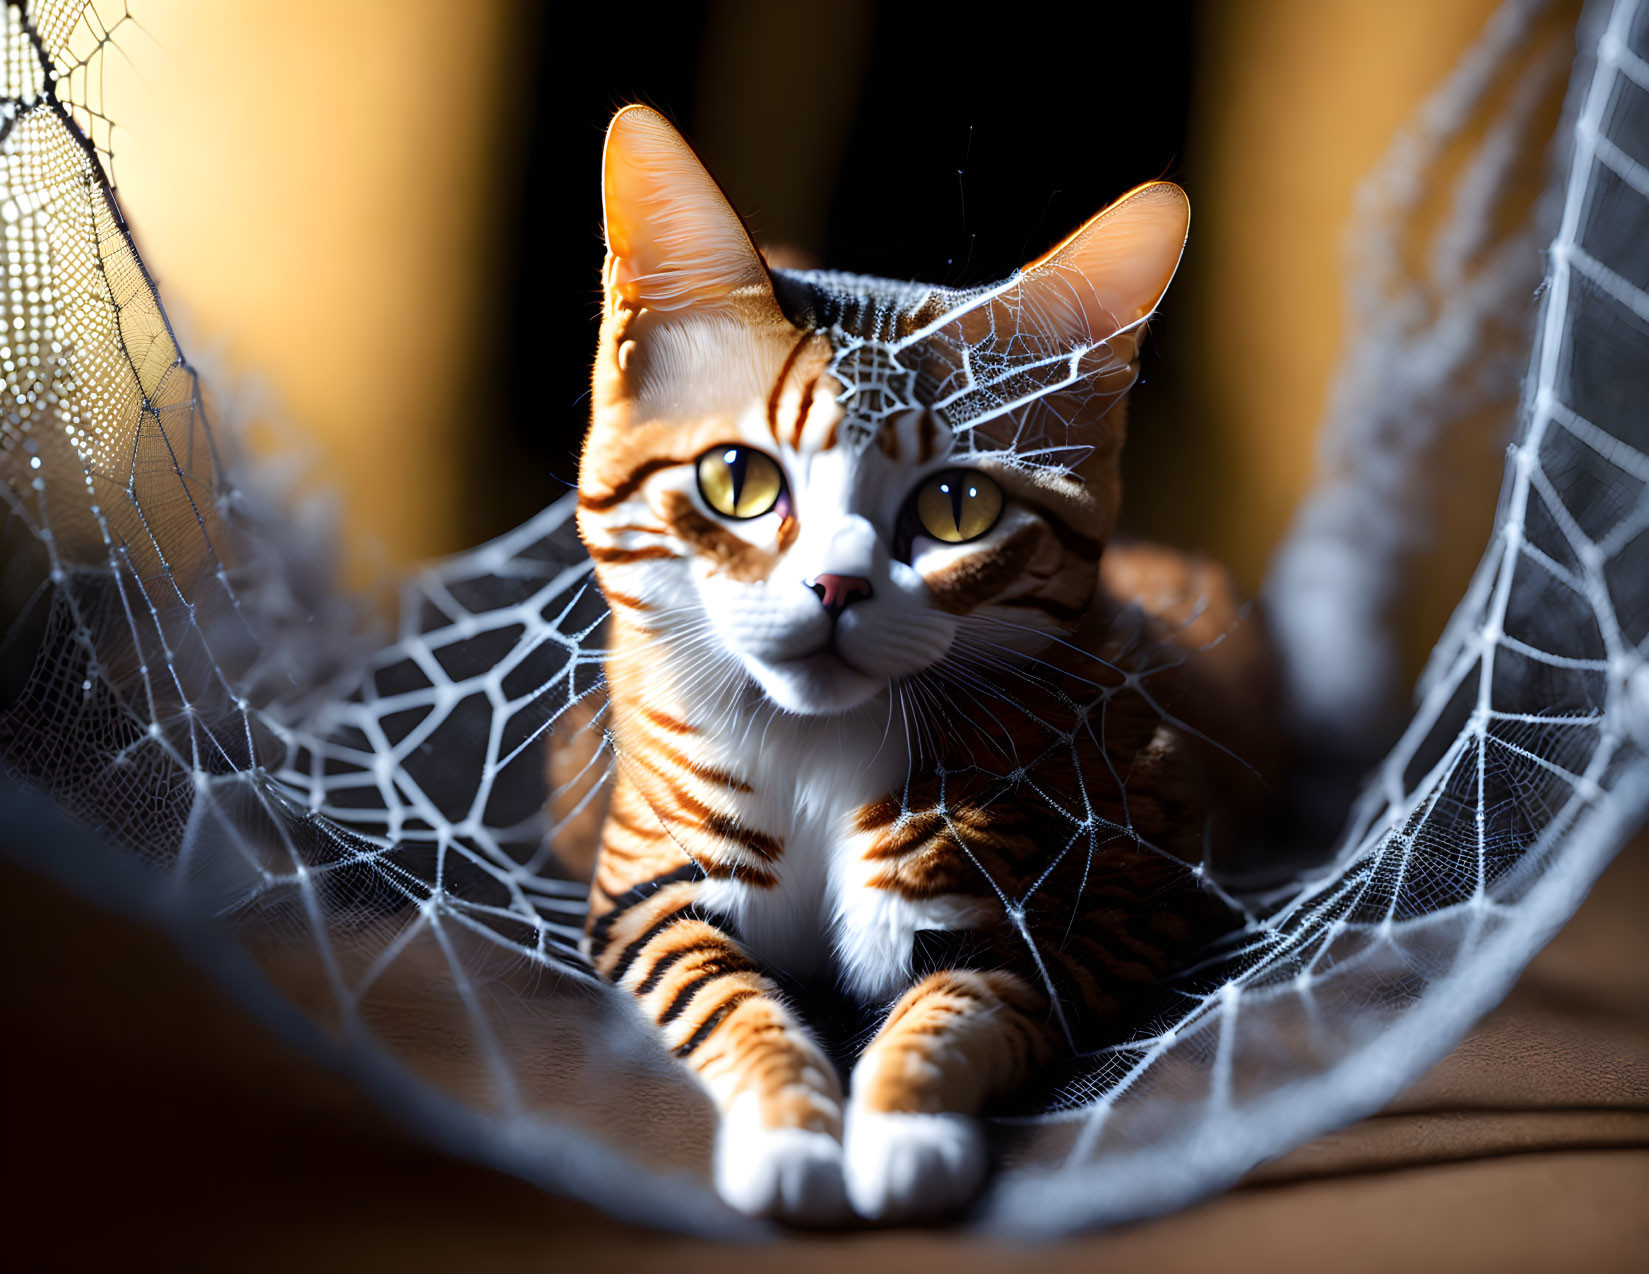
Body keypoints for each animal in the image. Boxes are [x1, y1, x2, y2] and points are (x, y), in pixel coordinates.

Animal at [573, 107, 1279, 1219]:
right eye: (737, 478)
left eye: (957, 507)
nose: (835, 587)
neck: (819, 751)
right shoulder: (642, 889)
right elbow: (718, 997)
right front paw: (787, 1130)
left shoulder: (1114, 896)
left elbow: (968, 1000)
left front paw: (905, 1125)